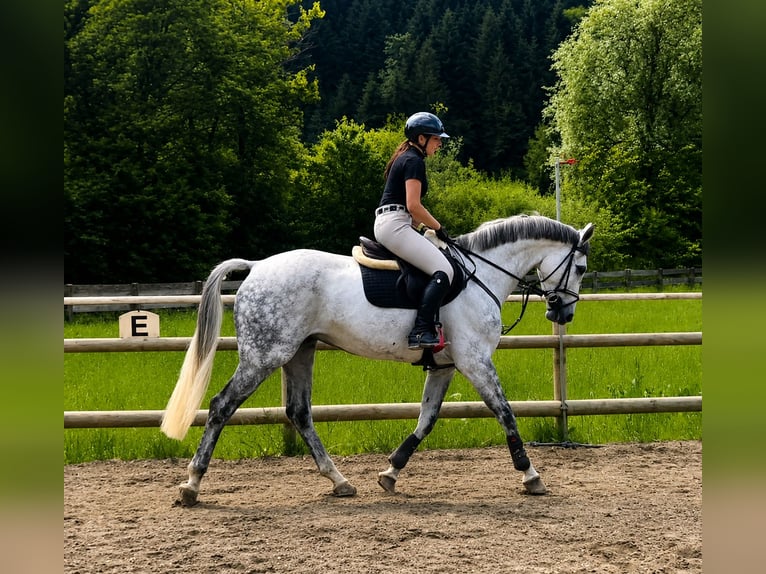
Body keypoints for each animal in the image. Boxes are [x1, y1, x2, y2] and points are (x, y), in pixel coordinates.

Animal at [161, 214, 594, 506]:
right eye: (581, 267)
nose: (564, 313)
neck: (481, 275)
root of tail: (256, 267)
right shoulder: (475, 361)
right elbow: (505, 413)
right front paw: (531, 476)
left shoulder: (446, 365)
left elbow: (426, 420)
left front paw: (391, 472)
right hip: (265, 355)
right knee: (222, 406)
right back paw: (192, 484)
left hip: (299, 352)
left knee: (299, 412)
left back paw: (339, 481)